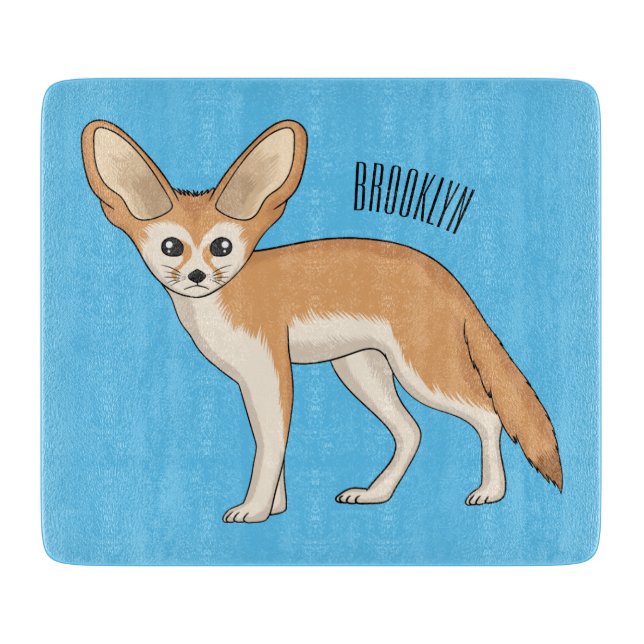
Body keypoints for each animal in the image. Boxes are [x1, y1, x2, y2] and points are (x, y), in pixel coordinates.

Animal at [81, 118, 563, 523]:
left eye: (221, 247)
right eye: (171, 247)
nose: (197, 277)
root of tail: (445, 275)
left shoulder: (271, 370)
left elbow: (270, 447)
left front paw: (254, 510)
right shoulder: (254, 380)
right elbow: (272, 446)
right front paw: (276, 508)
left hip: (423, 374)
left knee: (489, 416)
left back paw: (491, 491)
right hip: (361, 371)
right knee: (411, 431)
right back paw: (376, 494)